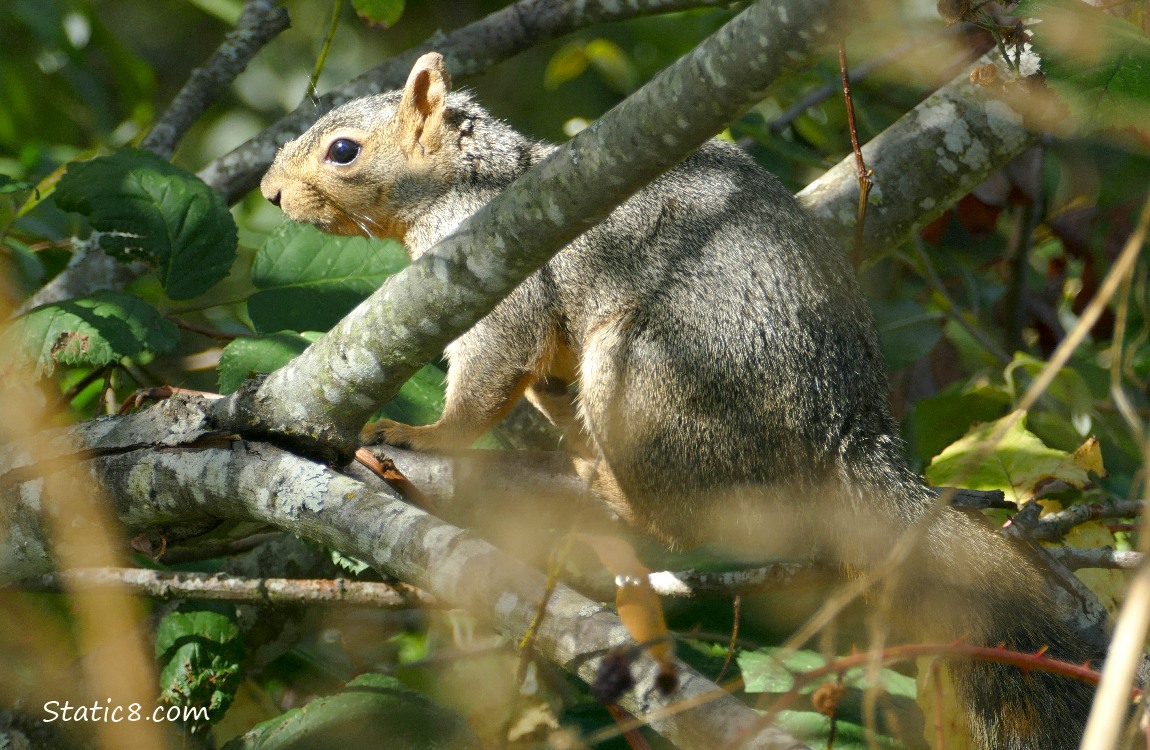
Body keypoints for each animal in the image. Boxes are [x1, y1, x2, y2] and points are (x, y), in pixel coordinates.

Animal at [261, 52, 1100, 749]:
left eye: (344, 151)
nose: (267, 192)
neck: (472, 184)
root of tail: (850, 431)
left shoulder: (495, 268)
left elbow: (496, 363)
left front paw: (429, 434)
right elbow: (541, 381)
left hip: (653, 378)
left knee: (683, 517)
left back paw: (612, 493)